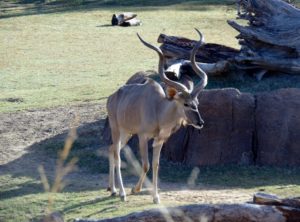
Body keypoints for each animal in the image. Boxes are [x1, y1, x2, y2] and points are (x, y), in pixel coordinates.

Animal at [106, 29, 207, 205]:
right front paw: (135, 189)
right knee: (117, 154)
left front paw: (156, 197)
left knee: (112, 149)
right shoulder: (142, 137)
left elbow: (156, 164)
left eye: (196, 102)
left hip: (126, 133)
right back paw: (122, 193)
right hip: (116, 129)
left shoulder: (159, 140)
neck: (158, 109)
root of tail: (111, 98)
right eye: (186, 104)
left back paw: (113, 189)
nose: (200, 122)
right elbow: (146, 164)